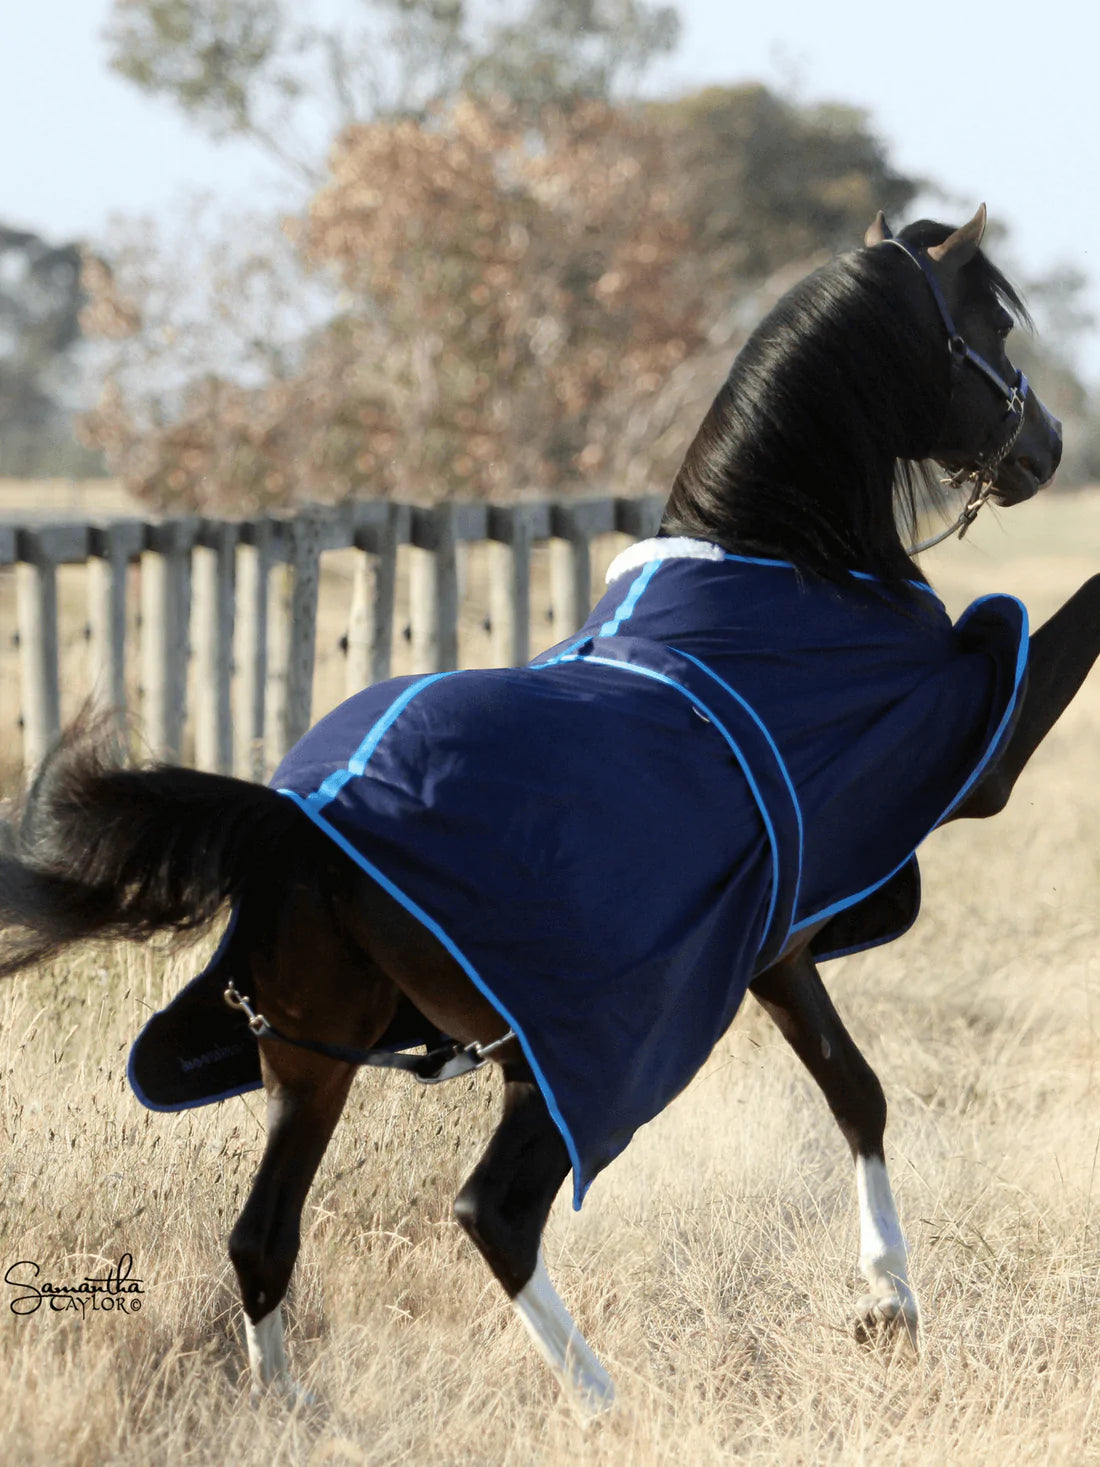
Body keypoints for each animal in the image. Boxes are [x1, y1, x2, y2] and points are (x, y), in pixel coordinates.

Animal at [0, 212, 1085, 1414]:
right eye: (990, 325)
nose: (1045, 445)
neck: (776, 560)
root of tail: (297, 820)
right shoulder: (971, 766)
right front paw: (886, 1301)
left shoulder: (774, 945)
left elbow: (857, 1092)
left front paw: (887, 1303)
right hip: (559, 1055)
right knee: (493, 1213)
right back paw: (607, 1405)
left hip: (316, 1058)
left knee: (262, 1238)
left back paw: (295, 1411)